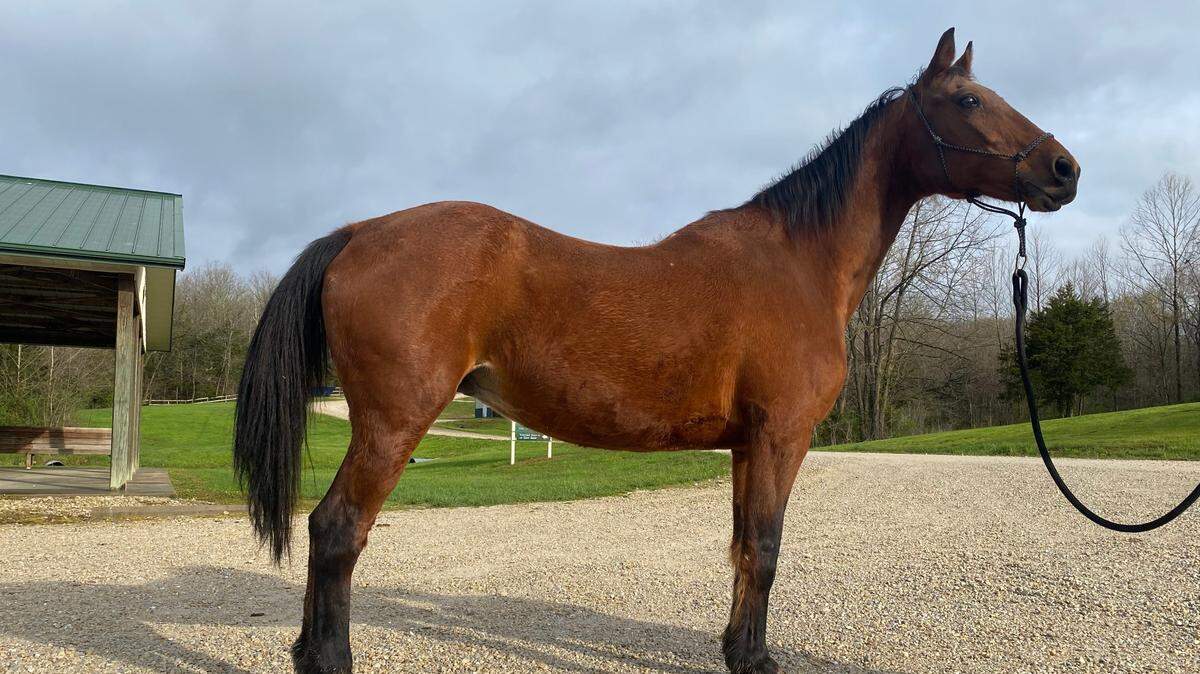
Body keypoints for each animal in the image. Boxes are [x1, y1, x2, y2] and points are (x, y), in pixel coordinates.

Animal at [234, 28, 1079, 674]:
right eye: (968, 101)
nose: (1065, 168)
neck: (797, 263)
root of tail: (358, 233)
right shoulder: (782, 436)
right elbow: (766, 548)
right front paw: (757, 661)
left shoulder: (747, 445)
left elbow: (742, 551)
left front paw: (738, 651)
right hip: (393, 422)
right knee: (337, 530)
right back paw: (329, 657)